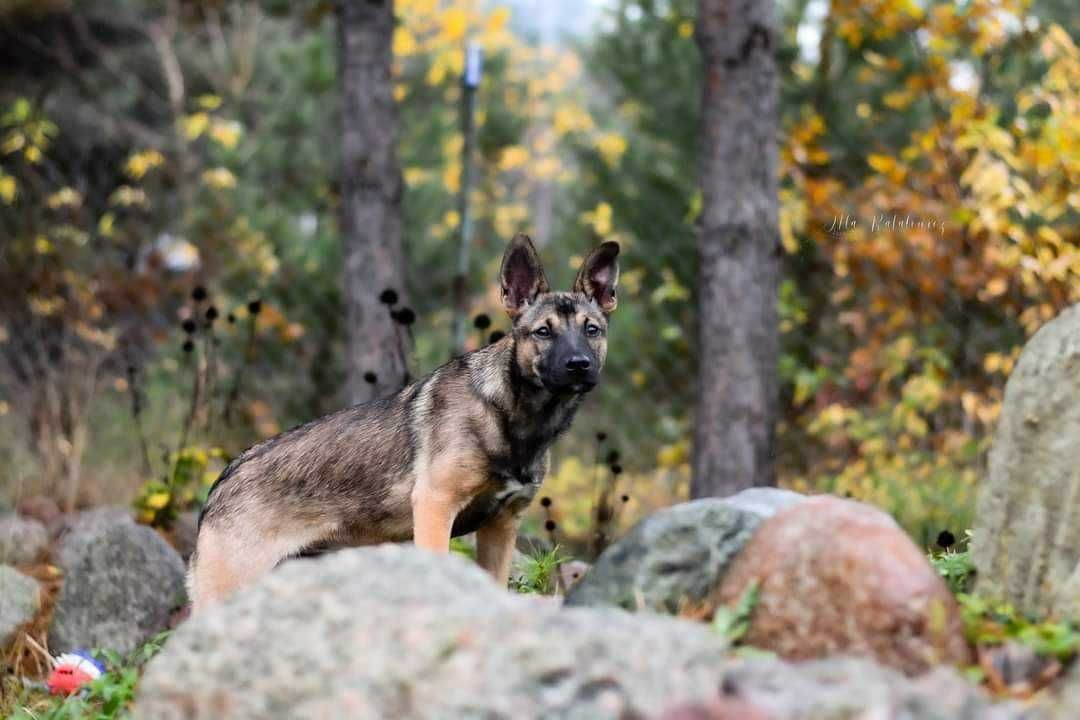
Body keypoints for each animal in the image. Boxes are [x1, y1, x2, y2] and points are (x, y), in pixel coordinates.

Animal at [190, 235, 622, 608]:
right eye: (543, 332)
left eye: (592, 330)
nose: (579, 365)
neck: (509, 412)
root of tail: (222, 482)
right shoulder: (435, 508)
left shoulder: (501, 527)